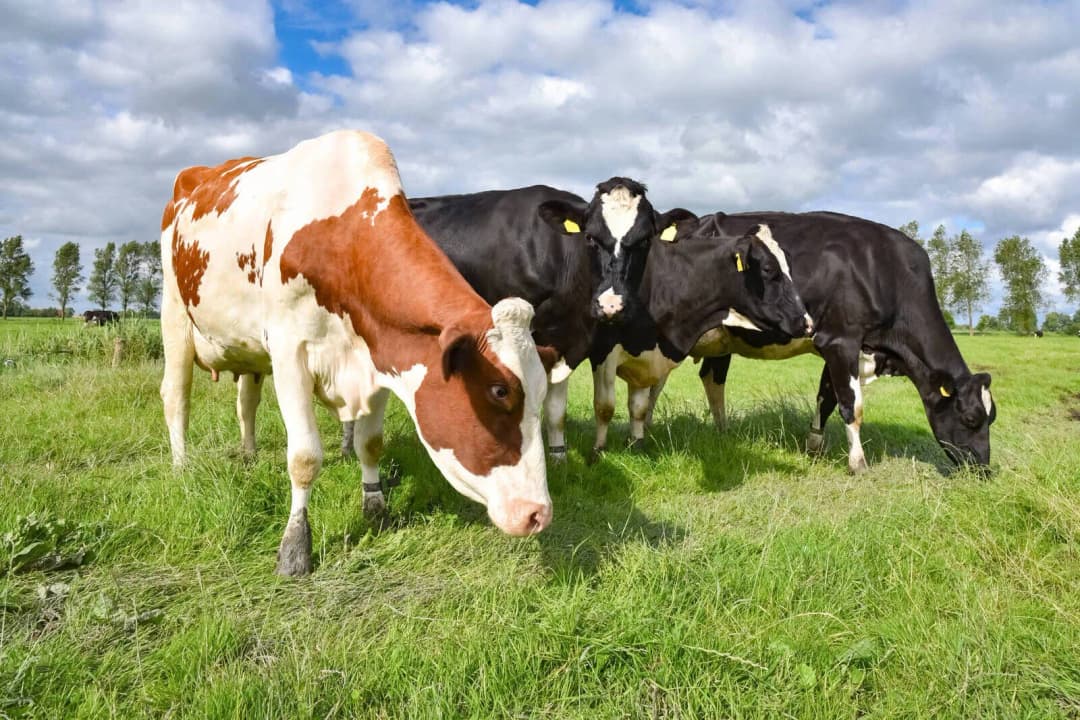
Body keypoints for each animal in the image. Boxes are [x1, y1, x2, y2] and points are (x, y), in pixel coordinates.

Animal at [160, 130, 556, 576]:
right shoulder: (289, 353)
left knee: (246, 401)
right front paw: (295, 546)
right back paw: (181, 467)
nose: (538, 513)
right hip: (174, 314)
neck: (339, 238)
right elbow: (304, 457)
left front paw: (376, 507)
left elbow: (371, 443)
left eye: (542, 392)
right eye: (499, 390)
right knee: (176, 397)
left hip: (247, 347)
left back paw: (248, 454)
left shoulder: (380, 357)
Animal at [587, 216, 814, 458]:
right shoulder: (604, 351)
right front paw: (598, 451)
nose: (807, 323)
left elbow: (639, 406)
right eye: (768, 269)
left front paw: (635, 445)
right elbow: (605, 405)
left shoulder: (646, 355)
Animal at [662, 211, 996, 472]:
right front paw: (858, 463)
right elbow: (851, 406)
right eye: (970, 418)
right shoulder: (841, 341)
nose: (983, 469)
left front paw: (814, 447)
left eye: (991, 419)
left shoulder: (839, 347)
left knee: (712, 378)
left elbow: (826, 398)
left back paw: (723, 433)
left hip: (722, 340)